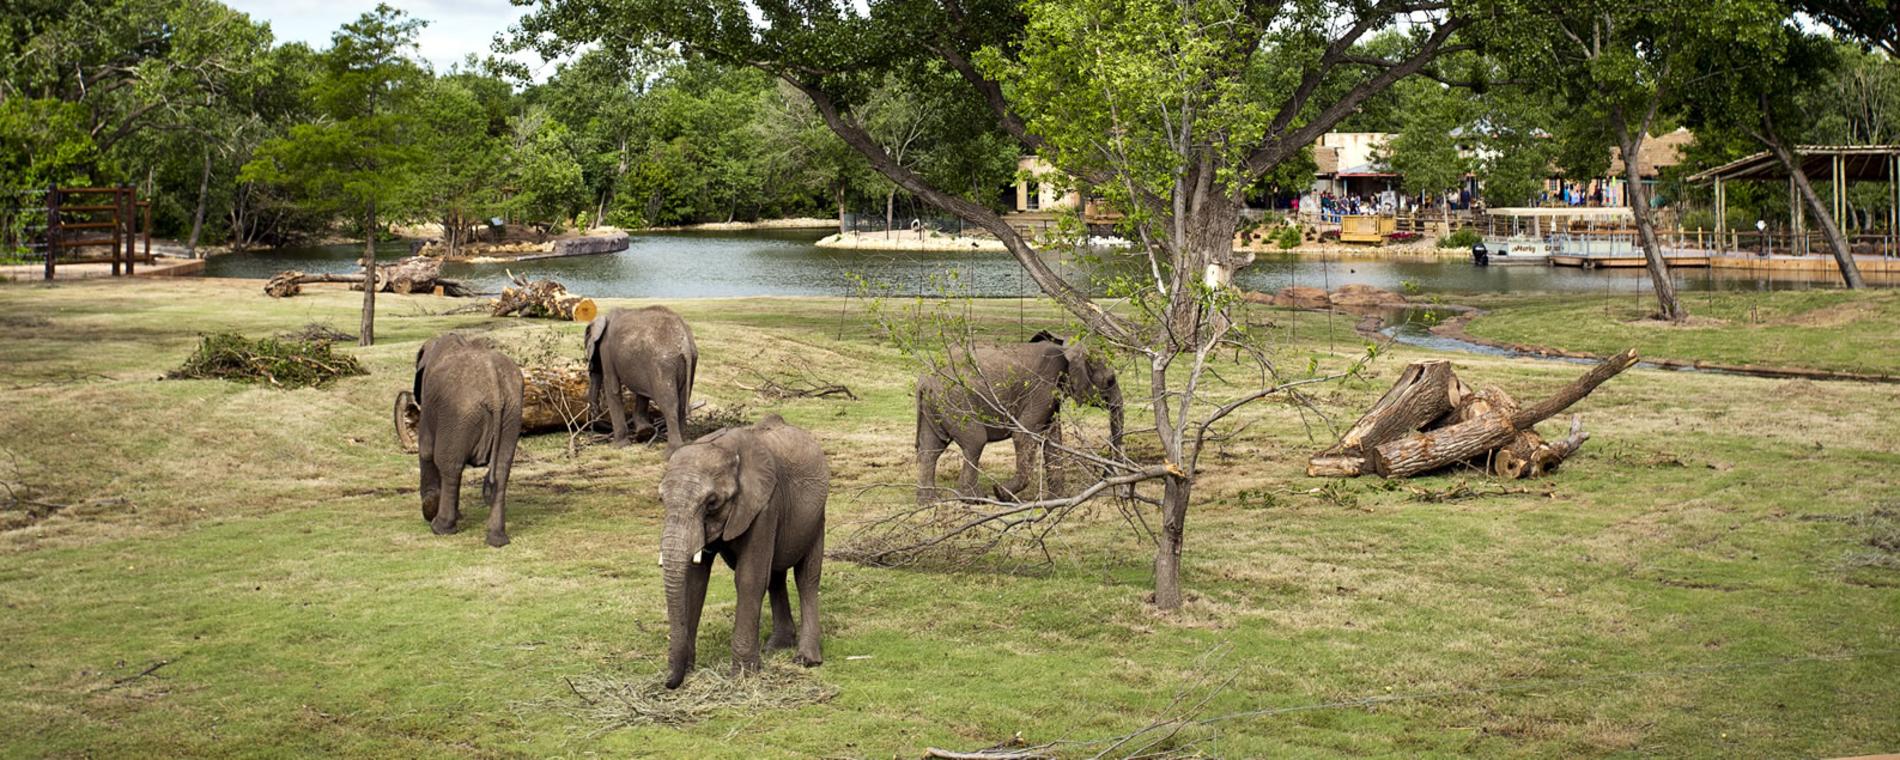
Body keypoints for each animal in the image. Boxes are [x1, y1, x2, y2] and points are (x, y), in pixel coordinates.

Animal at [412, 333, 524, 548]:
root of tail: (493, 384)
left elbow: (426, 449)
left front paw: (429, 510)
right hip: (511, 413)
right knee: (502, 471)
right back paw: (497, 540)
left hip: (458, 412)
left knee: (449, 466)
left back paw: (440, 528)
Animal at [584, 306, 698, 450]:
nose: (595, 427)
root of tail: (685, 344)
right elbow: (642, 393)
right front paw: (645, 432)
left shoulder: (606, 350)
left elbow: (612, 387)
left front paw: (619, 445)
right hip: (691, 361)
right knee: (682, 403)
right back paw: (683, 445)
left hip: (663, 365)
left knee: (669, 404)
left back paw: (673, 450)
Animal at [658, 414, 829, 689]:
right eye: (661, 500)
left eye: (712, 502)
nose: (667, 682)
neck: (724, 449)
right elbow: (695, 581)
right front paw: (689, 670)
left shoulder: (765, 504)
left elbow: (749, 578)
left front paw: (743, 675)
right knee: (775, 576)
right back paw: (777, 646)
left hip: (816, 517)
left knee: (806, 578)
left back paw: (806, 658)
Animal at [915, 336, 1123, 503]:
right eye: (1111, 380)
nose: (1104, 477)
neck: (1067, 349)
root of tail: (924, 380)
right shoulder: (1042, 388)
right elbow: (1024, 435)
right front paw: (1000, 493)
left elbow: (1052, 441)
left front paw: (1055, 500)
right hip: (956, 400)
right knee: (975, 442)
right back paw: (976, 499)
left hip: (936, 405)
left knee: (931, 449)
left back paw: (929, 502)